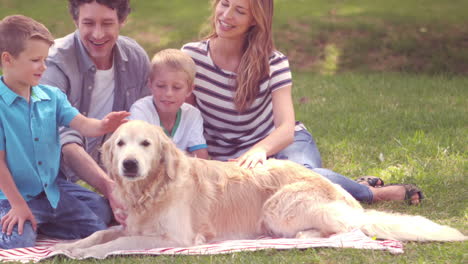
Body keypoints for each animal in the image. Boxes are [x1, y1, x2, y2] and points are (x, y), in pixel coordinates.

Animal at [54, 120, 464, 258]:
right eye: (121, 144)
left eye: (146, 144)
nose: (129, 165)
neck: (150, 190)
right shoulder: (131, 223)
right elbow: (100, 234)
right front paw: (72, 245)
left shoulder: (175, 237)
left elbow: (119, 242)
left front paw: (83, 253)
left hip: (277, 207)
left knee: (350, 230)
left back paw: (304, 237)